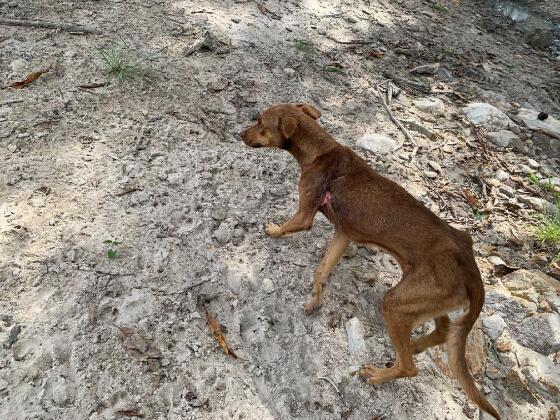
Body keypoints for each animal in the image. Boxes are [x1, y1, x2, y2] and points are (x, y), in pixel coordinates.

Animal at [243, 103, 500, 418]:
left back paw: (378, 374)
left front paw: (273, 231)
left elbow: (287, 229)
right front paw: (315, 300)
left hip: (397, 304)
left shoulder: (305, 216)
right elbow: (321, 271)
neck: (321, 150)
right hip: (427, 300)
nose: (240, 134)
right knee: (441, 332)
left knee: (410, 368)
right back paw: (414, 345)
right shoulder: (343, 235)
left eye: (259, 123)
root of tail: (472, 268)